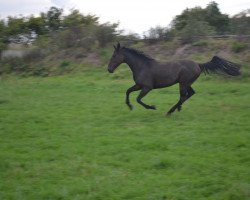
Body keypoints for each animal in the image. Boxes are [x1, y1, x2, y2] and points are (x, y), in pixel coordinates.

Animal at [107, 42, 240, 115]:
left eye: (114, 56)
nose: (109, 69)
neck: (142, 66)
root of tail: (198, 64)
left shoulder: (147, 87)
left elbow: (138, 99)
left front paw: (152, 107)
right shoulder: (139, 85)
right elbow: (128, 91)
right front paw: (129, 106)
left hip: (183, 83)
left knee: (183, 96)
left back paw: (170, 111)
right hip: (186, 83)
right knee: (189, 94)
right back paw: (177, 109)